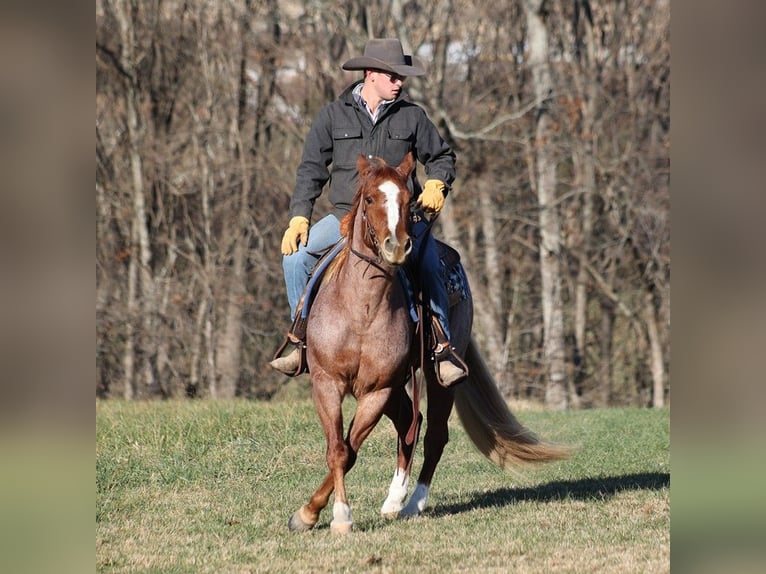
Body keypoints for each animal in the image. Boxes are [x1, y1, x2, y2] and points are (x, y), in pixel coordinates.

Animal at [288, 154, 568, 536]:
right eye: (370, 198)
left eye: (409, 200)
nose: (396, 246)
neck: (360, 309)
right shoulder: (328, 384)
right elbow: (339, 449)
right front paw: (317, 513)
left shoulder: (375, 391)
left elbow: (349, 450)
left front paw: (334, 515)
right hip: (397, 387)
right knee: (411, 421)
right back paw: (394, 500)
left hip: (437, 380)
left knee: (433, 433)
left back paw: (412, 504)